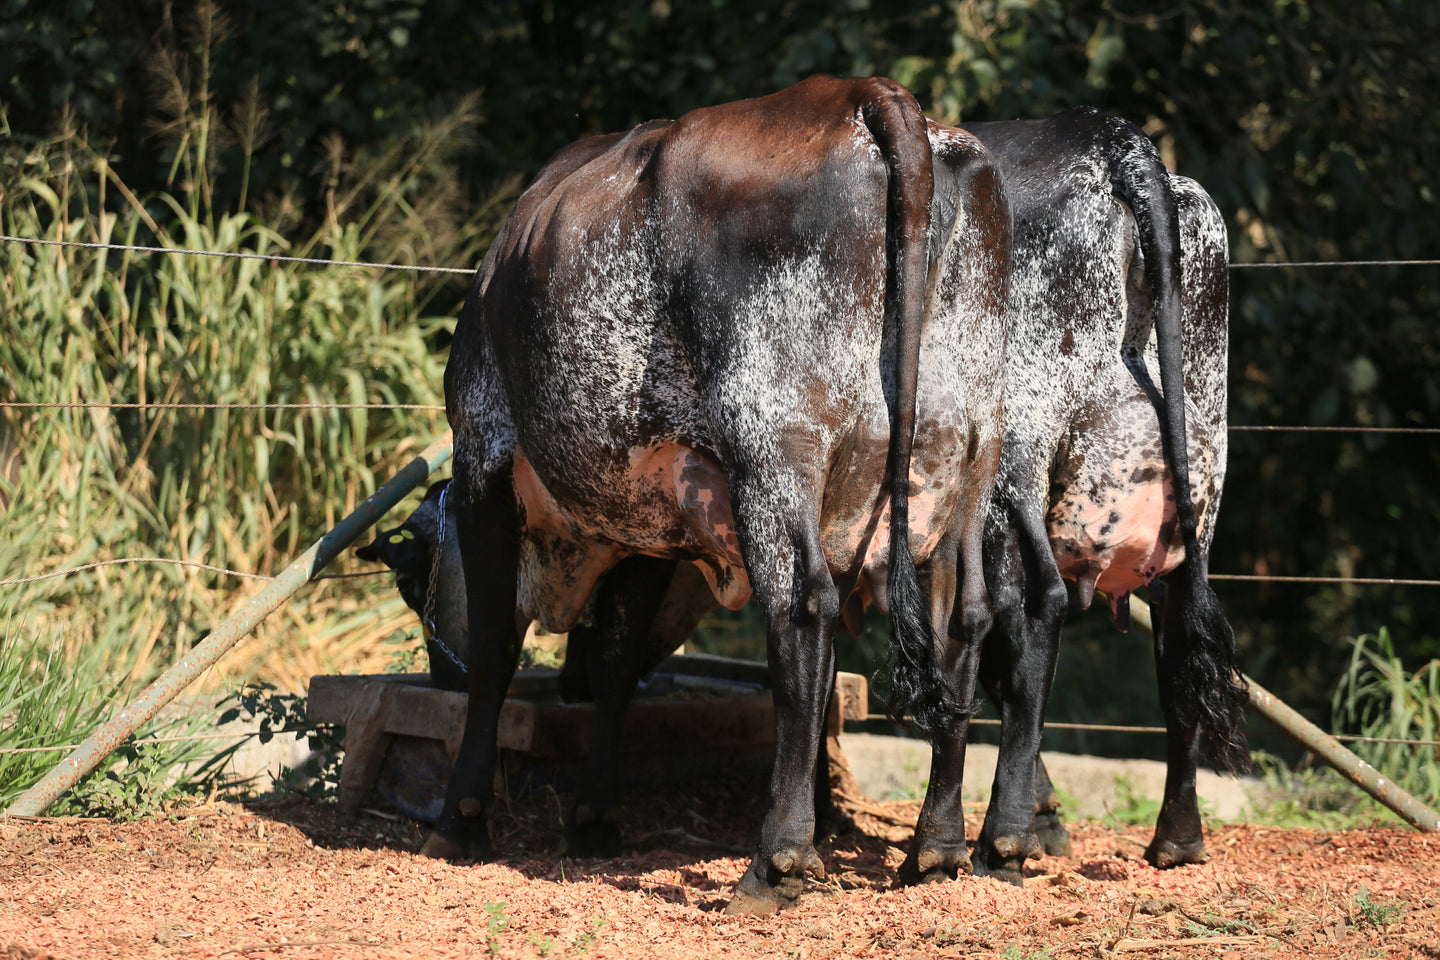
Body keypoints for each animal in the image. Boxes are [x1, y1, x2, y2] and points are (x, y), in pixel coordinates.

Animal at [429, 77, 1013, 915]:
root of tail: (863, 93)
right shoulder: (646, 520)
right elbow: (616, 665)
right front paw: (596, 816)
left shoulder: (483, 453)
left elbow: (493, 649)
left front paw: (462, 815)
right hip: (966, 465)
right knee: (961, 622)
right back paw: (935, 846)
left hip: (774, 449)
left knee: (803, 613)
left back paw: (777, 859)